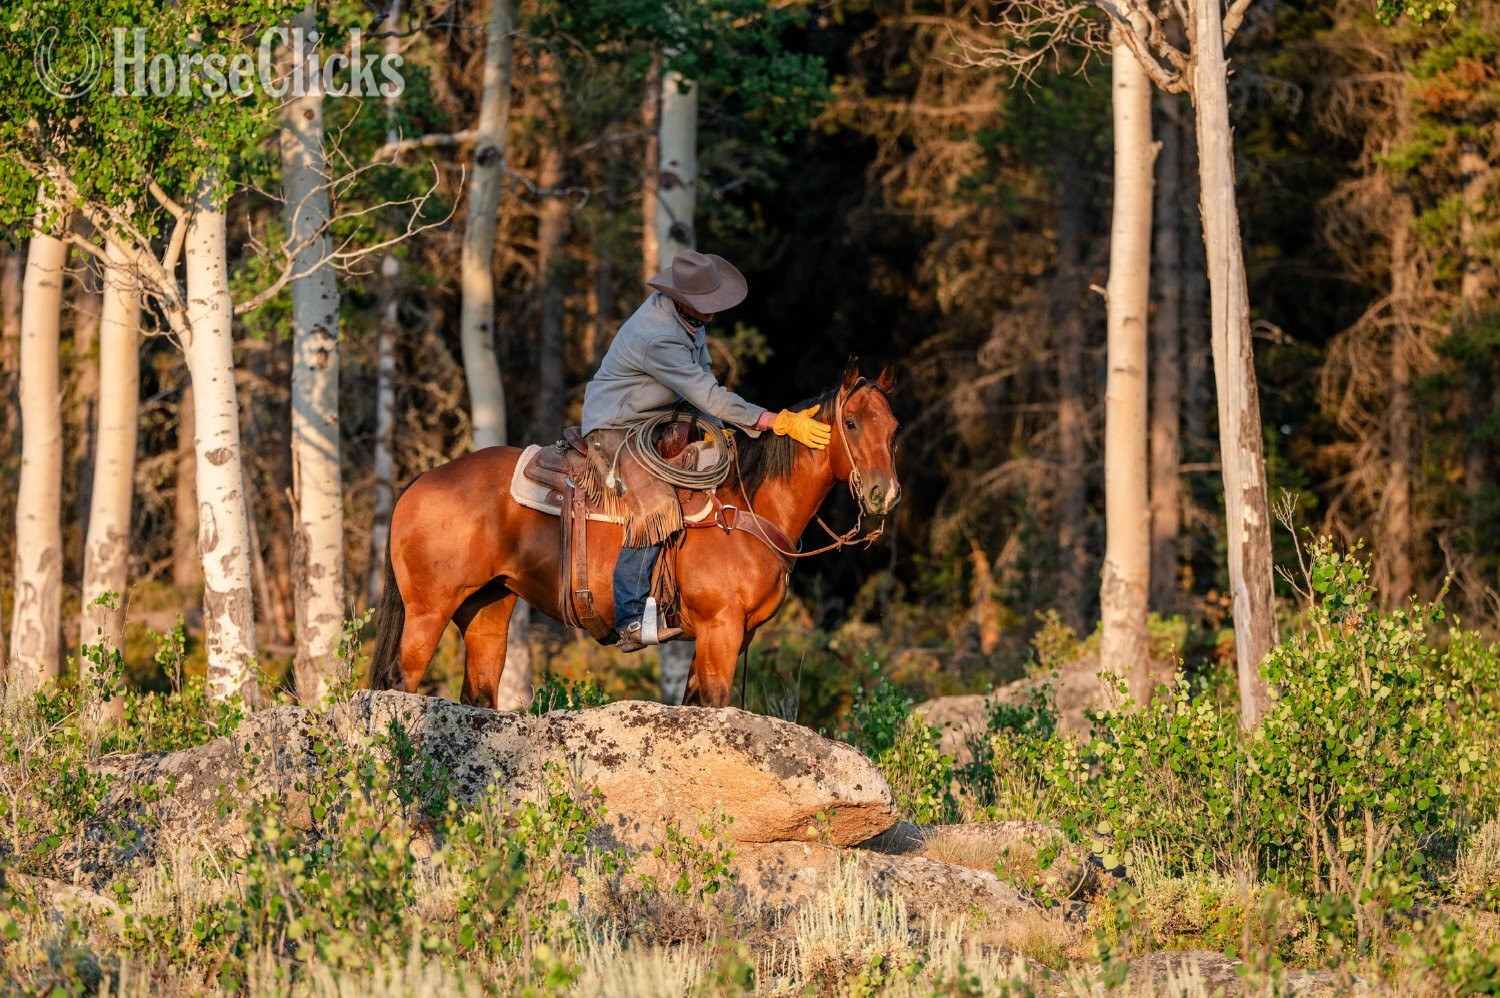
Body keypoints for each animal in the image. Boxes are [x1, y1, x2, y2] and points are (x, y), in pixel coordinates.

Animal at [369, 360, 901, 708]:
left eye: (893, 428)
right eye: (851, 422)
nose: (884, 494)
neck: (746, 508)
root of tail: (418, 484)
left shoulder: (732, 636)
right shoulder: (720, 630)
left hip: (487, 609)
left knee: (477, 694)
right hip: (429, 610)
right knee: (401, 682)